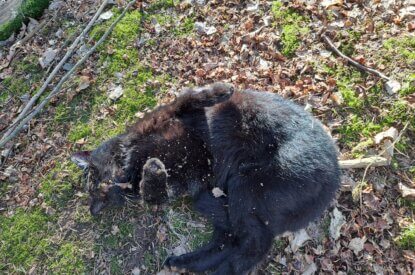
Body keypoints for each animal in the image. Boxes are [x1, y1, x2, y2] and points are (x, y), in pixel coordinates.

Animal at [71, 82, 342, 275]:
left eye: (98, 179)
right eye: (104, 191)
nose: (119, 182)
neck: (134, 157)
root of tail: (336, 177)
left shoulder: (170, 113)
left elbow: (189, 95)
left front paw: (221, 89)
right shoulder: (181, 185)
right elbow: (153, 192)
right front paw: (153, 171)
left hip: (248, 187)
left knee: (247, 241)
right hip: (233, 194)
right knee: (240, 240)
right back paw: (190, 263)